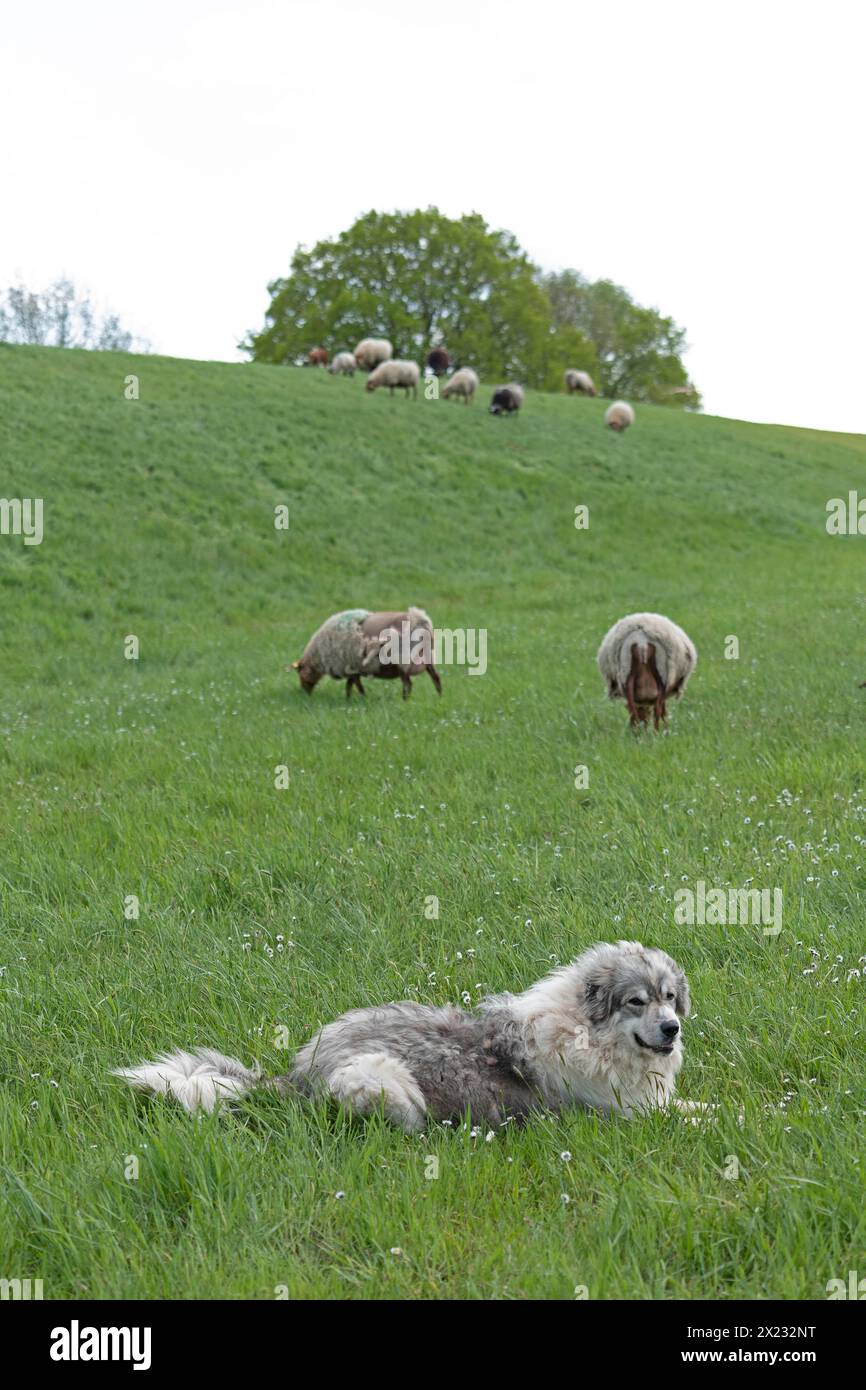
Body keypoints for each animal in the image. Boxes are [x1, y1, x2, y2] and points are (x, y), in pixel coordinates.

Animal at [115, 939, 711, 1134]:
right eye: (637, 1001)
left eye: (669, 997)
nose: (673, 1027)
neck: (588, 1034)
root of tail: (297, 1073)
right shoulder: (624, 1115)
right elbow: (701, 1114)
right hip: (384, 1081)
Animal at [293, 608, 444, 700]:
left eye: (300, 673)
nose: (304, 693)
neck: (319, 656)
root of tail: (419, 619)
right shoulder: (355, 669)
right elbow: (351, 685)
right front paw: (352, 699)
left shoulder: (351, 668)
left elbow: (353, 685)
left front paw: (356, 698)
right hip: (428, 658)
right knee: (436, 677)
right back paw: (439, 696)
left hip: (402, 661)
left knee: (408, 684)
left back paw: (404, 700)